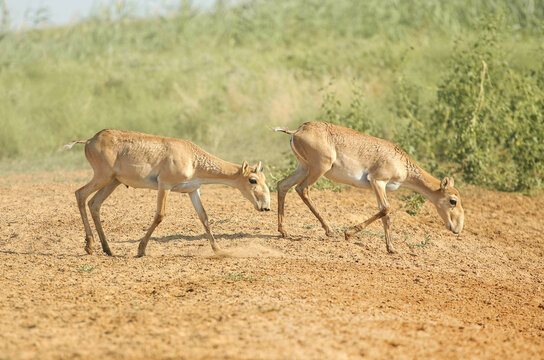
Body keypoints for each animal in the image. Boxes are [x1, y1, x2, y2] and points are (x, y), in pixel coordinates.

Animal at [66, 129, 270, 256]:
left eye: (264, 179)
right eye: (253, 180)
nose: (266, 206)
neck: (193, 159)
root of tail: (89, 140)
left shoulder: (193, 190)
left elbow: (204, 217)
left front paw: (219, 250)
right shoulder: (164, 185)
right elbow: (160, 215)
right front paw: (141, 250)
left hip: (113, 181)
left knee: (94, 203)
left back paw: (107, 249)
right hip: (102, 176)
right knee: (80, 194)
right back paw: (89, 246)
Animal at [274, 121, 466, 253]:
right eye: (453, 201)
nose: (457, 228)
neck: (402, 163)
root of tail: (297, 130)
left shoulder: (381, 187)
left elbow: (385, 214)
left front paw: (392, 248)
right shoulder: (377, 181)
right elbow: (386, 209)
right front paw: (348, 233)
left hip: (303, 167)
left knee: (282, 185)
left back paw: (284, 232)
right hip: (318, 168)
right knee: (302, 189)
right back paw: (329, 230)